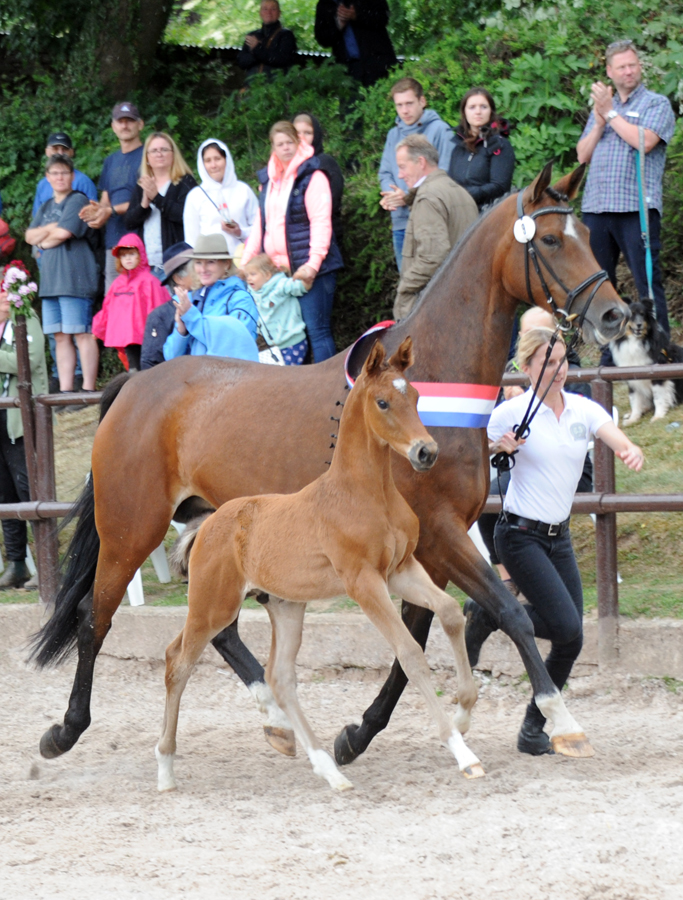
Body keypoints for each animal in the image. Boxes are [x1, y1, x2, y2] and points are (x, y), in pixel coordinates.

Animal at [158, 340, 484, 796]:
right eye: (383, 402)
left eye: (418, 397)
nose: (426, 452)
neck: (367, 493)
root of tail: (206, 525)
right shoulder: (364, 583)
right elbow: (409, 653)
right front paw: (462, 752)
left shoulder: (401, 571)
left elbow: (452, 613)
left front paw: (464, 713)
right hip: (212, 606)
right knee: (177, 662)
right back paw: (165, 770)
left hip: (286, 607)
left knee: (280, 678)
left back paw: (330, 771)